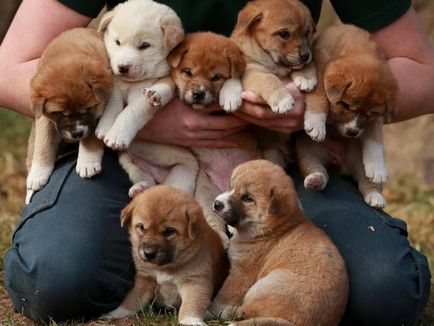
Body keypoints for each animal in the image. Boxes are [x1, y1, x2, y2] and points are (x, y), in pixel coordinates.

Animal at [25, 27, 112, 201]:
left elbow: (91, 135)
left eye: (88, 108)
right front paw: (38, 174)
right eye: (59, 113)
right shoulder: (43, 119)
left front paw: (87, 161)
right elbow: (43, 143)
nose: (77, 134)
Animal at [95, 0, 183, 150]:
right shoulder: (114, 88)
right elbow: (112, 106)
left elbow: (131, 112)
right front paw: (105, 126)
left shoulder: (141, 97)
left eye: (144, 45)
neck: (128, 84)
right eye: (117, 42)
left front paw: (117, 134)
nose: (123, 67)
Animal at [101, 185, 229, 324]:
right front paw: (117, 312)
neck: (165, 267)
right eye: (141, 227)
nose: (148, 253)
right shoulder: (145, 278)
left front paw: (191, 320)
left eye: (169, 231)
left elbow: (192, 304)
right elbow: (132, 299)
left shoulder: (195, 281)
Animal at [209, 160, 348, 326]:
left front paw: (209, 310)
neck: (273, 230)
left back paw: (228, 313)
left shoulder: (241, 273)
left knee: (249, 311)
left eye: (247, 198)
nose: (217, 204)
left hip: (264, 285)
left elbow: (224, 294)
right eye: (229, 186)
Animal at [296, 24, 398, 208]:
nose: (352, 132)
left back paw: (375, 196)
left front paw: (377, 166)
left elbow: (375, 135)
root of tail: (341, 163)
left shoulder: (375, 119)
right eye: (345, 105)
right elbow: (319, 94)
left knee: (367, 182)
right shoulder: (319, 68)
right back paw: (315, 180)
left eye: (371, 113)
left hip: (359, 162)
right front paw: (316, 122)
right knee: (317, 169)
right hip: (307, 151)